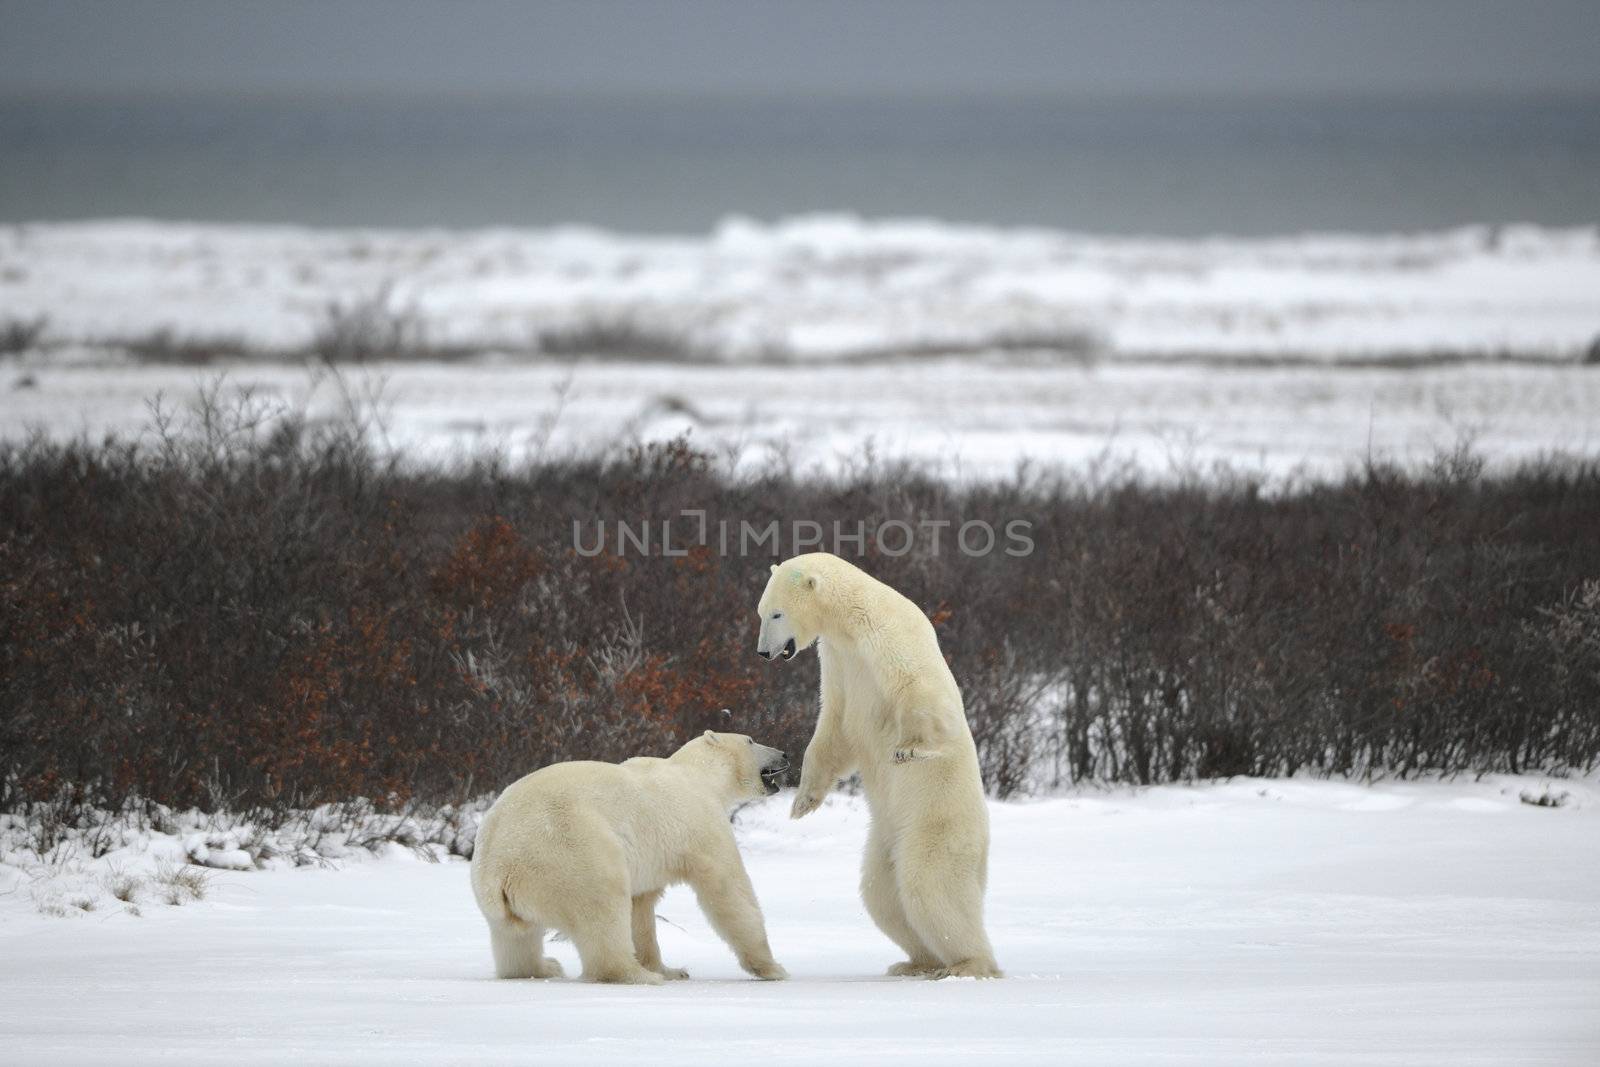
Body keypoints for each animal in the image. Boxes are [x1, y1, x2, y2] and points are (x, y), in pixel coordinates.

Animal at [467, 735, 793, 985]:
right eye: (750, 740)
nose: (785, 753)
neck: (696, 775)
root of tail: (496, 867)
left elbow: (642, 908)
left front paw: (670, 969)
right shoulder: (701, 822)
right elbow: (729, 891)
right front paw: (774, 968)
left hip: (503, 895)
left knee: (515, 941)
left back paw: (545, 966)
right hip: (568, 851)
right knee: (603, 907)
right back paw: (638, 975)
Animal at [752, 556, 998, 979]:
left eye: (777, 613)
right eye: (761, 611)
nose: (763, 652)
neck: (851, 621)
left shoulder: (888, 639)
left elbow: (921, 692)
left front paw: (908, 750)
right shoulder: (838, 661)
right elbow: (834, 726)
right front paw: (802, 802)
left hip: (936, 824)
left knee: (931, 884)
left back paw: (967, 964)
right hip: (886, 836)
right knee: (882, 894)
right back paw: (914, 962)